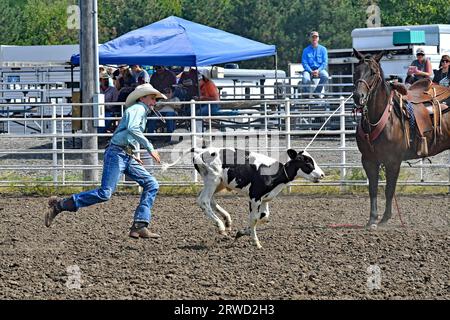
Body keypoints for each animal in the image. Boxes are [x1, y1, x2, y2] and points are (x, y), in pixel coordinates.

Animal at [162, 149, 324, 249]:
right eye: (307, 162)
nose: (322, 175)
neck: (274, 174)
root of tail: (201, 152)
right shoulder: (254, 197)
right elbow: (254, 218)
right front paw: (255, 242)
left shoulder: (265, 199)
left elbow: (264, 216)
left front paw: (242, 232)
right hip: (212, 179)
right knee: (203, 200)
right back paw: (220, 226)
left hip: (219, 183)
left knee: (211, 200)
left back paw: (227, 220)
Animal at [352, 48, 450, 228]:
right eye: (356, 71)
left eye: (373, 72)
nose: (358, 96)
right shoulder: (369, 160)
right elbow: (373, 189)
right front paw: (372, 219)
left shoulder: (393, 161)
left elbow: (389, 190)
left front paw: (385, 218)